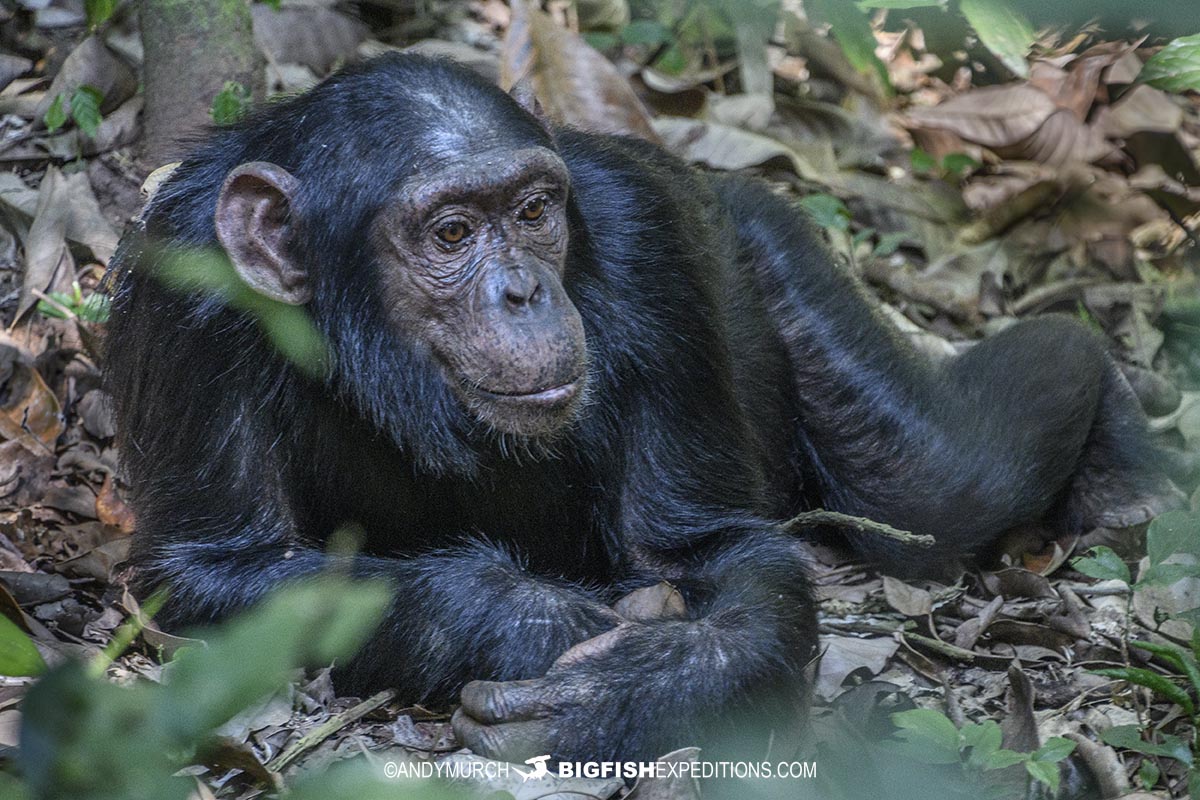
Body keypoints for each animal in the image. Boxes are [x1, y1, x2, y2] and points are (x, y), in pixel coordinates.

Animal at [105, 53, 1180, 767]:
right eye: (450, 233)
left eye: (534, 212)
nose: (523, 292)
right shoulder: (187, 297)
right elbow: (211, 570)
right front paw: (526, 621)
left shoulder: (649, 245)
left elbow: (708, 550)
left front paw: (643, 682)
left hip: (770, 256)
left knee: (945, 479)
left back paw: (1123, 440)